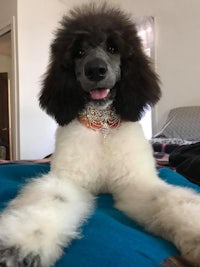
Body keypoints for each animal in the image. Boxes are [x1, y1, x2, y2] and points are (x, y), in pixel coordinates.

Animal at [0, 2, 200, 267]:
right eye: (79, 52)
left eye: (113, 48)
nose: (95, 70)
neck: (102, 126)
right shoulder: (69, 180)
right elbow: (50, 200)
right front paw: (19, 246)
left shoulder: (136, 183)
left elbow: (172, 200)